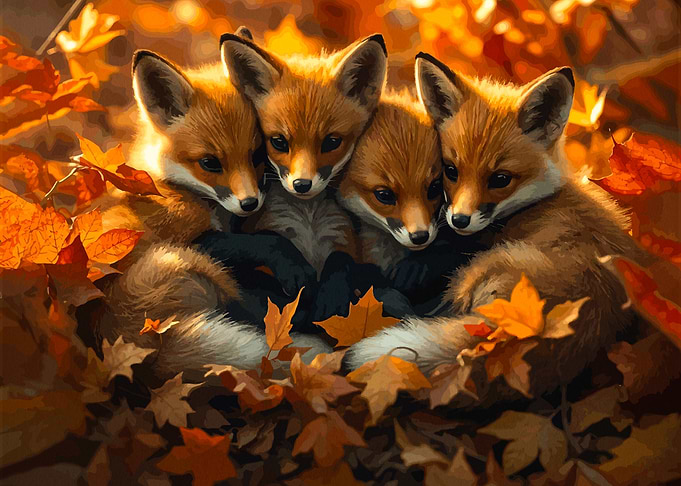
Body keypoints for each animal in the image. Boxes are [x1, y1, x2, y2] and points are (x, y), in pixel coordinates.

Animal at [95, 47, 330, 379]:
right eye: (209, 163)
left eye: (257, 154)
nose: (250, 203)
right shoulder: (191, 235)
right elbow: (265, 240)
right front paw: (293, 267)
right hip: (192, 264)